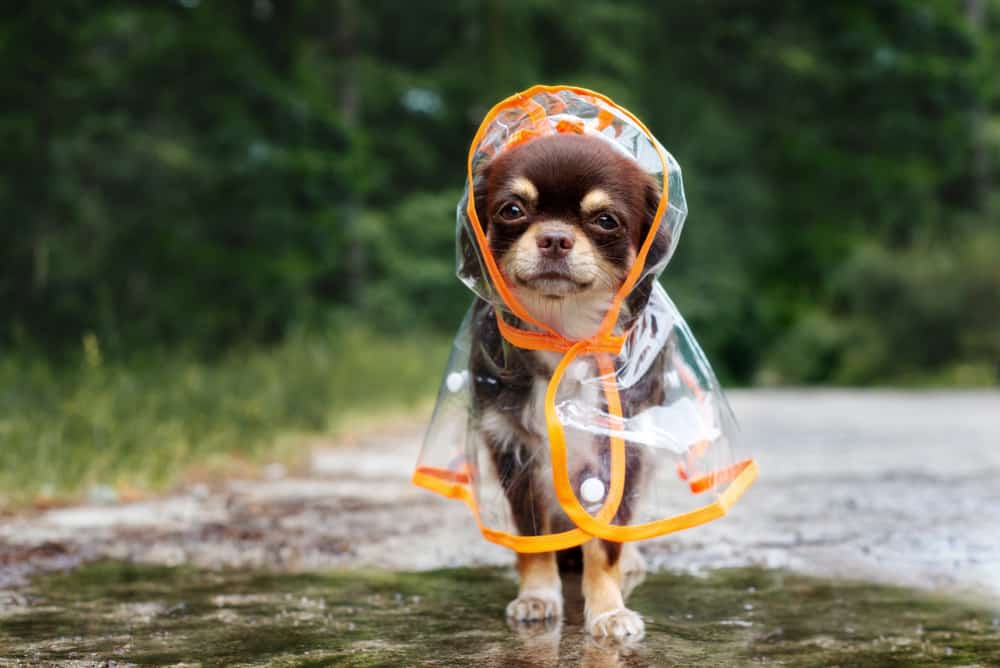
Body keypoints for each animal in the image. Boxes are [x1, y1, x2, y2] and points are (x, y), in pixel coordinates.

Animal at [470, 133, 672, 640]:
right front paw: (538, 597)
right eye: (512, 210)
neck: (563, 334)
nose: (556, 238)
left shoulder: (617, 453)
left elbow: (605, 544)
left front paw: (608, 610)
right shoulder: (515, 453)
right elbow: (534, 539)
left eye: (605, 220)